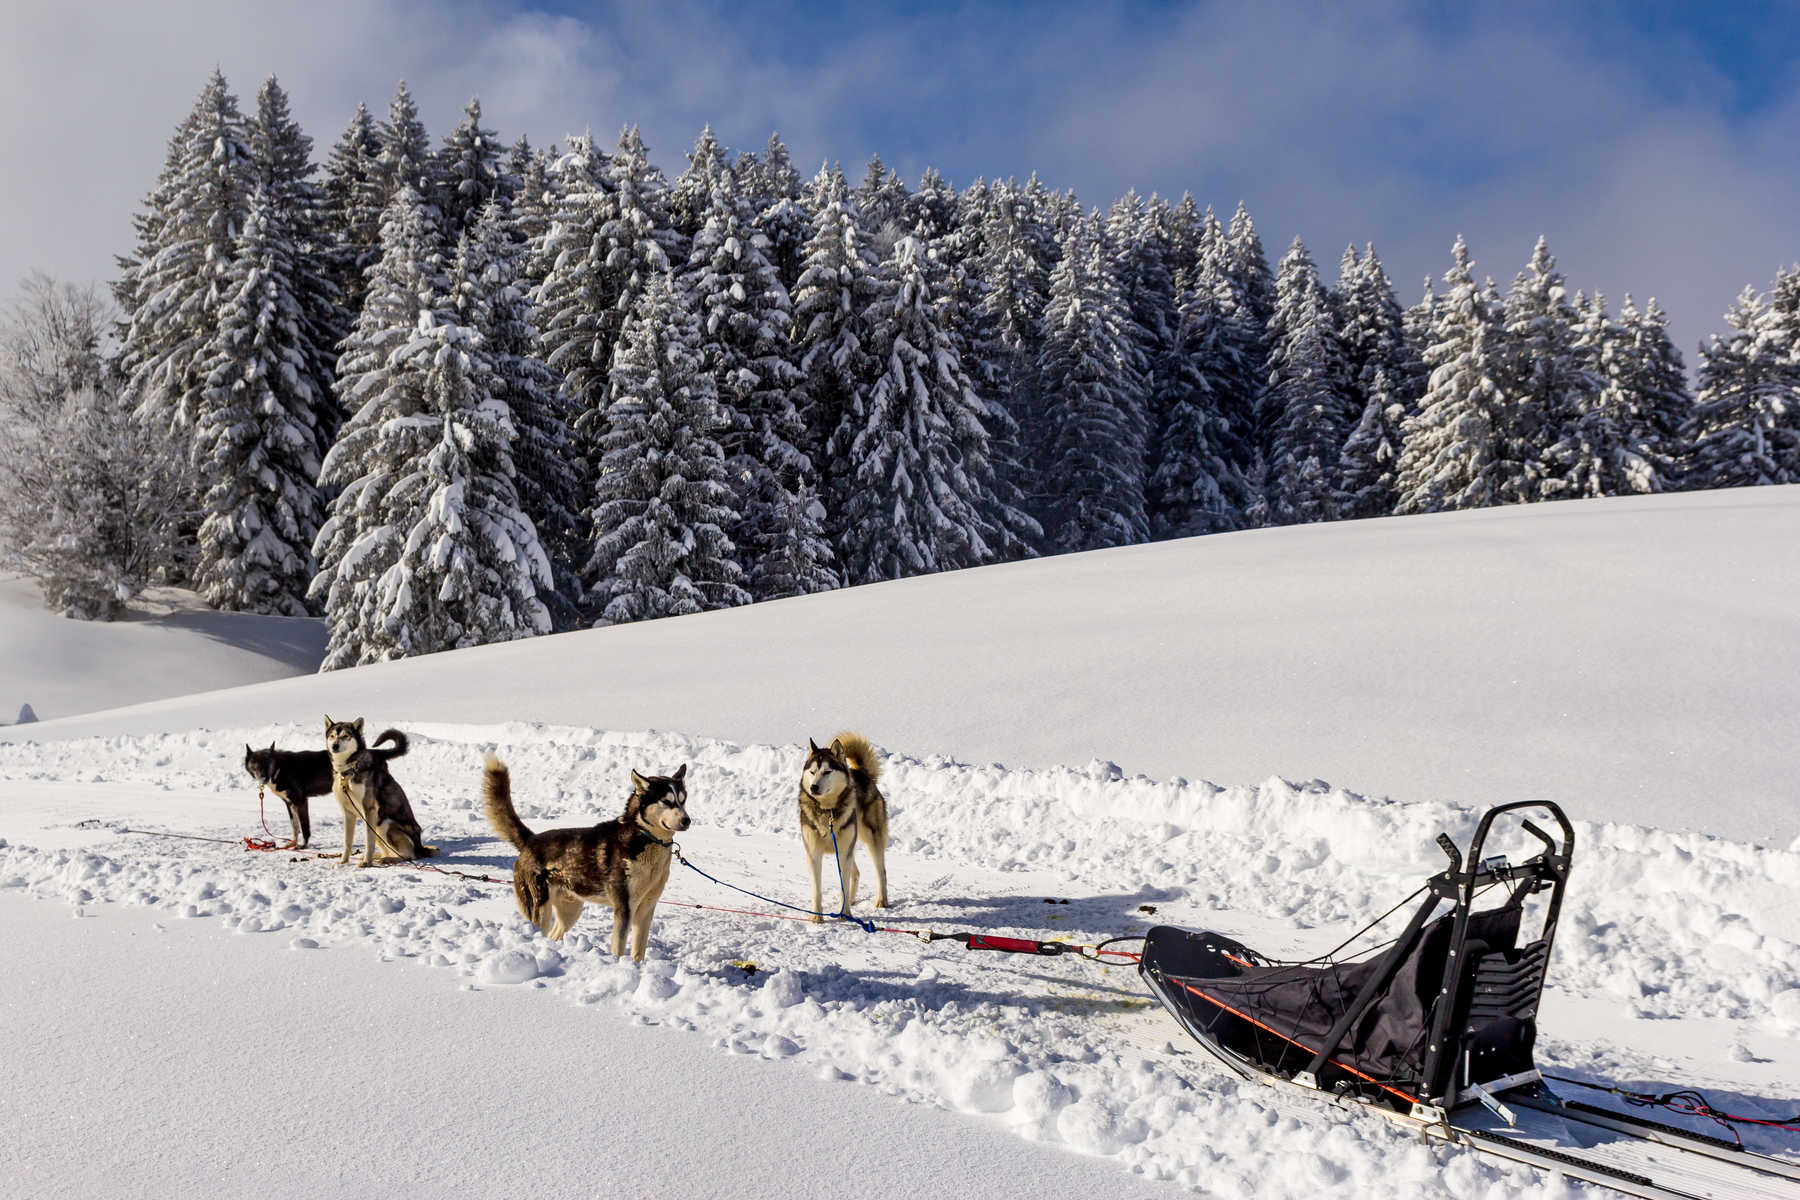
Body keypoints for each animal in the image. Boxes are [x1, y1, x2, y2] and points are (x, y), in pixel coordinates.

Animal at [239, 726, 405, 849]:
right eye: (255, 765)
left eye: (268, 764)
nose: (263, 777)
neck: (280, 768)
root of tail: (377, 752)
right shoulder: (289, 803)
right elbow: (295, 826)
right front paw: (292, 843)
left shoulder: (301, 801)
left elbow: (304, 827)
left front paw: (303, 845)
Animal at [324, 719, 435, 867]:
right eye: (332, 736)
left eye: (346, 736)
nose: (334, 746)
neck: (348, 771)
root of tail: (421, 848)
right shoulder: (348, 813)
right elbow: (347, 842)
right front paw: (343, 862)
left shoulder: (369, 809)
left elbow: (368, 841)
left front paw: (366, 862)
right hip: (376, 826)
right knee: (391, 851)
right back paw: (380, 857)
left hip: (384, 825)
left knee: (410, 856)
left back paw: (387, 859)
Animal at [482, 755, 691, 964]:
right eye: (666, 801)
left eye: (683, 800)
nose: (687, 820)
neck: (644, 838)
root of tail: (531, 840)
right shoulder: (624, 907)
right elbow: (618, 947)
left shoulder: (646, 907)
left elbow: (638, 950)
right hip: (539, 909)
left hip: (570, 910)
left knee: (554, 934)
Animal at [799, 734, 889, 921]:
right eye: (812, 772)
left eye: (827, 772)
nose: (813, 787)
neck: (828, 811)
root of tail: (862, 773)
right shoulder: (814, 852)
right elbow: (817, 889)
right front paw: (817, 917)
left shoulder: (844, 851)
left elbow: (844, 884)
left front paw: (845, 913)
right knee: (856, 873)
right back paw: (851, 900)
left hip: (870, 839)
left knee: (881, 872)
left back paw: (881, 900)